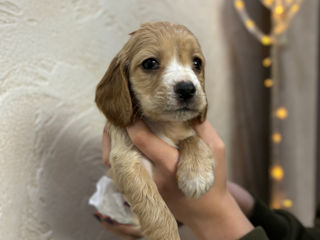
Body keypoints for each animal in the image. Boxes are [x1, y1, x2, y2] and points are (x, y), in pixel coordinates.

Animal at [95, 21, 215, 239]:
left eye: (197, 63)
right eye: (150, 63)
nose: (187, 88)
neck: (163, 124)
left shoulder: (190, 132)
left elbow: (192, 139)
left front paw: (196, 174)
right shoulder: (126, 160)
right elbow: (155, 209)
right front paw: (165, 235)